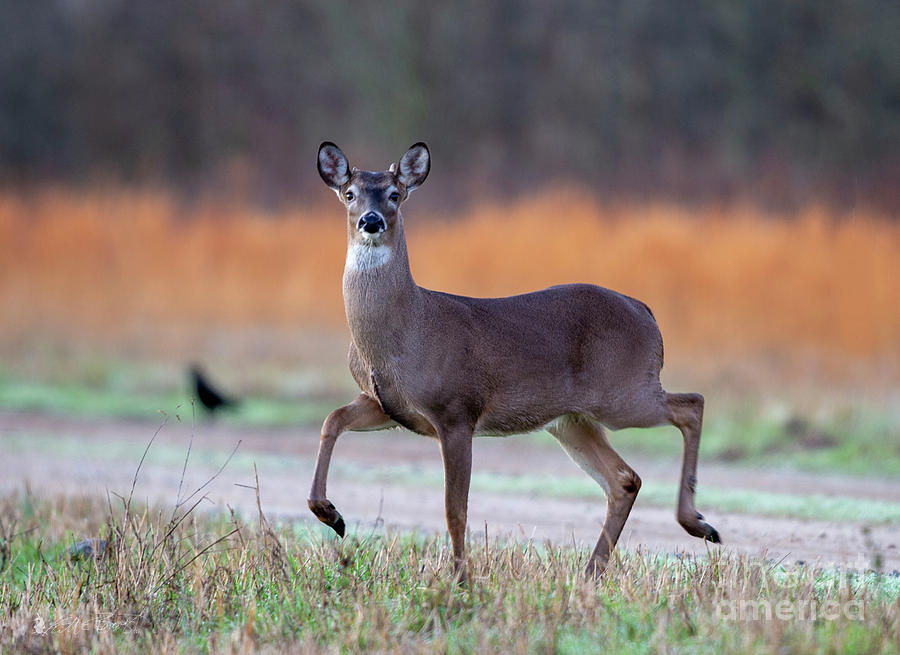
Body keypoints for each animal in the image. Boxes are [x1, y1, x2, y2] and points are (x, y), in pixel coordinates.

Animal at [306, 142, 720, 580]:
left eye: (394, 194)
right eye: (349, 194)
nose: (371, 220)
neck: (402, 333)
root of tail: (647, 313)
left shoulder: (456, 410)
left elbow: (455, 509)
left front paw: (460, 578)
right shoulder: (386, 405)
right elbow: (332, 420)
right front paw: (331, 515)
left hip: (623, 393)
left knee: (691, 404)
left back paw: (698, 524)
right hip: (572, 420)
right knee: (625, 479)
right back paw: (592, 571)